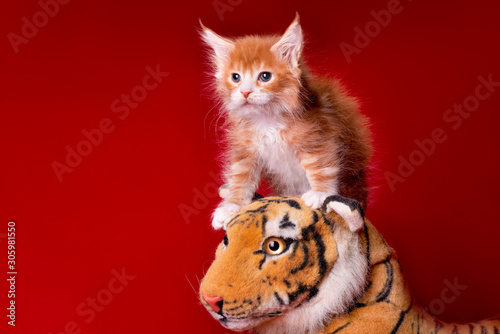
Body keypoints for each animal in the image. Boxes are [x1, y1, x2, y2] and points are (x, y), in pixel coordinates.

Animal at [200, 15, 372, 230]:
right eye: (235, 77)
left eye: (265, 76)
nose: (245, 92)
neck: (267, 120)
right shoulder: (245, 150)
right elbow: (240, 178)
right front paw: (231, 205)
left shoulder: (318, 134)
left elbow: (321, 166)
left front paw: (320, 192)